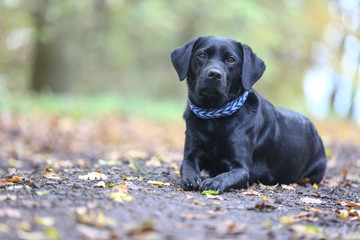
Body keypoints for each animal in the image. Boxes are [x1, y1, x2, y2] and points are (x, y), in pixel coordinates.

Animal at [171, 35, 326, 193]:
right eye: (202, 55)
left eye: (231, 60)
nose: (214, 74)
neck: (213, 117)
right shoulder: (191, 153)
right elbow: (187, 166)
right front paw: (190, 178)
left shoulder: (242, 168)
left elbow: (227, 176)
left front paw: (213, 182)